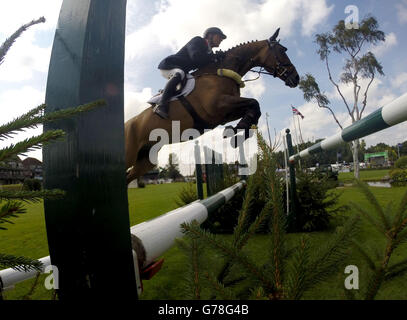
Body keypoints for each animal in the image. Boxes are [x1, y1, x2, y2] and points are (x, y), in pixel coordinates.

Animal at [124, 28, 300, 184]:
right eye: (282, 50)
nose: (296, 78)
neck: (221, 72)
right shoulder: (218, 106)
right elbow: (254, 103)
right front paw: (237, 132)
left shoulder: (224, 114)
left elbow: (254, 108)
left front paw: (237, 132)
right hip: (129, 155)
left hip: (146, 160)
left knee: (127, 178)